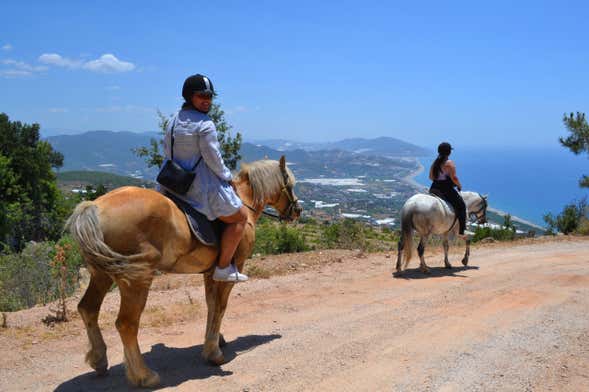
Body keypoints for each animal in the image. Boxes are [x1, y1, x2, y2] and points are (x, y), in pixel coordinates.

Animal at [66, 155, 300, 386]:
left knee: (88, 309)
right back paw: (144, 375)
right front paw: (213, 353)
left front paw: (216, 340)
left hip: (101, 275)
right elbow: (221, 307)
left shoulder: (210, 272)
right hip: (136, 279)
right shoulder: (232, 269)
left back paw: (99, 360)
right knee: (126, 323)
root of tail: (95, 206)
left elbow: (211, 305)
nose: (298, 211)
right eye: (289, 184)